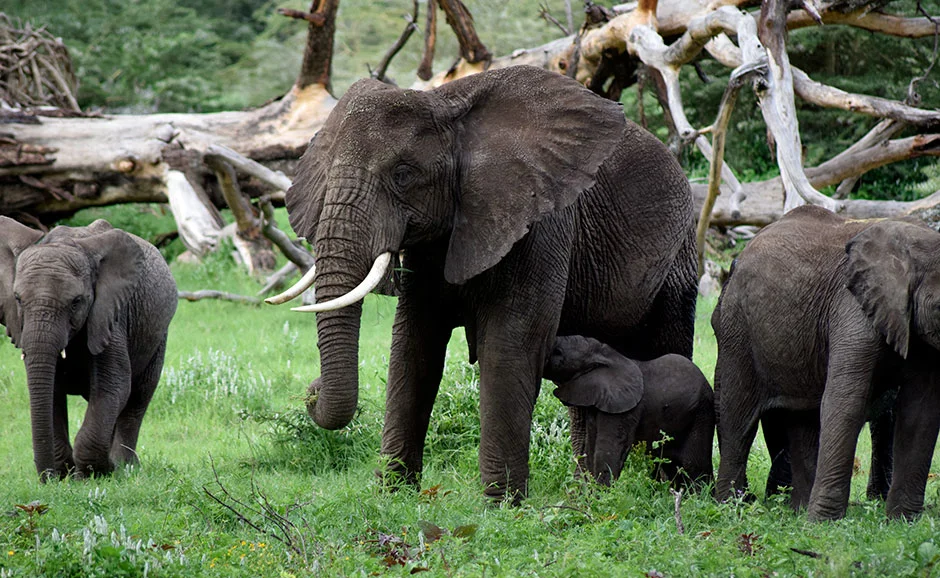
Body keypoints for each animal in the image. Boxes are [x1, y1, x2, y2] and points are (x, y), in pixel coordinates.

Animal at [0, 217, 177, 481]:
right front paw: (67, 473)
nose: (48, 478)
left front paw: (96, 473)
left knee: (139, 396)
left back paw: (124, 466)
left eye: (76, 302)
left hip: (158, 336)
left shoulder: (110, 316)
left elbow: (113, 385)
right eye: (18, 299)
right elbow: (51, 391)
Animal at [544, 335, 714, 487]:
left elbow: (607, 452)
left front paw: (600, 498)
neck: (605, 354)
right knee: (672, 464)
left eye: (558, 352)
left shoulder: (625, 409)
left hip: (702, 414)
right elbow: (591, 450)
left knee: (695, 465)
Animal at [712, 205, 940, 520]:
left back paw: (796, 510)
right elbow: (846, 402)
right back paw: (731, 508)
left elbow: (921, 411)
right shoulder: (853, 309)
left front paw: (902, 521)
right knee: (738, 416)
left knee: (803, 415)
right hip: (739, 328)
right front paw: (823, 522)